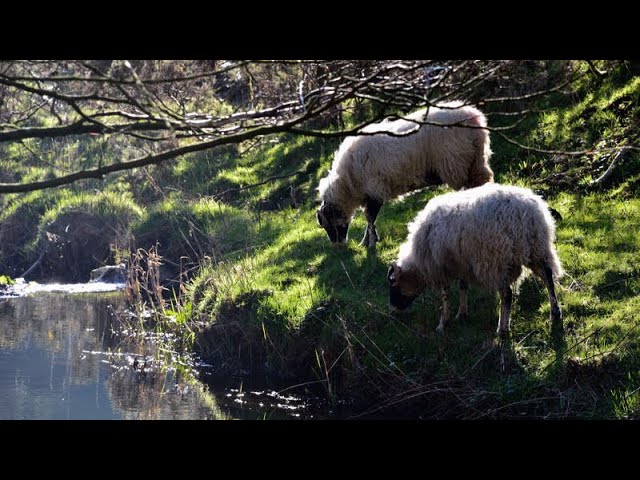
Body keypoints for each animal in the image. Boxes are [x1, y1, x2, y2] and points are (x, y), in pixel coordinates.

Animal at [318, 103, 492, 249]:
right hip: (476, 160)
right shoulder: (370, 193)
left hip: (457, 162)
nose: (338, 245)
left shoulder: (375, 190)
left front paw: (371, 243)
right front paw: (368, 241)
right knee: (482, 180)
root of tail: (474, 116)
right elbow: (370, 219)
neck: (348, 184)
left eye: (328, 225)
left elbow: (370, 217)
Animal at [384, 184, 560, 338]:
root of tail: (523, 214)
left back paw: (502, 329)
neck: (418, 265)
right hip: (537, 249)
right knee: (548, 278)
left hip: (496, 261)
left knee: (507, 294)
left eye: (394, 285)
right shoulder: (462, 264)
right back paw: (555, 313)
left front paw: (443, 323)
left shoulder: (441, 266)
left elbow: (445, 295)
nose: (392, 310)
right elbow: (463, 287)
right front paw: (461, 313)